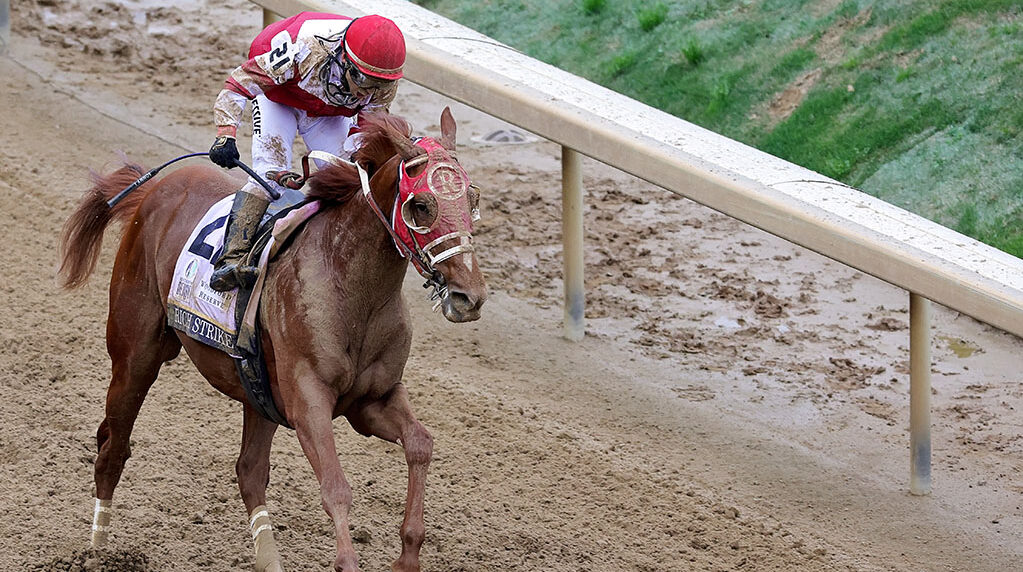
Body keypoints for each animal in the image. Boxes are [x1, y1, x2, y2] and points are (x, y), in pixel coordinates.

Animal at [57, 108, 487, 572]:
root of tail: (153, 189)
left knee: (248, 470)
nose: (470, 296)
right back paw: (97, 549)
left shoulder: (372, 400)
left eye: (472, 200)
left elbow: (420, 444)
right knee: (113, 447)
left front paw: (407, 556)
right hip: (135, 353)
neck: (353, 289)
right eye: (420, 205)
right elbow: (336, 486)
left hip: (256, 389)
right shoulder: (309, 401)